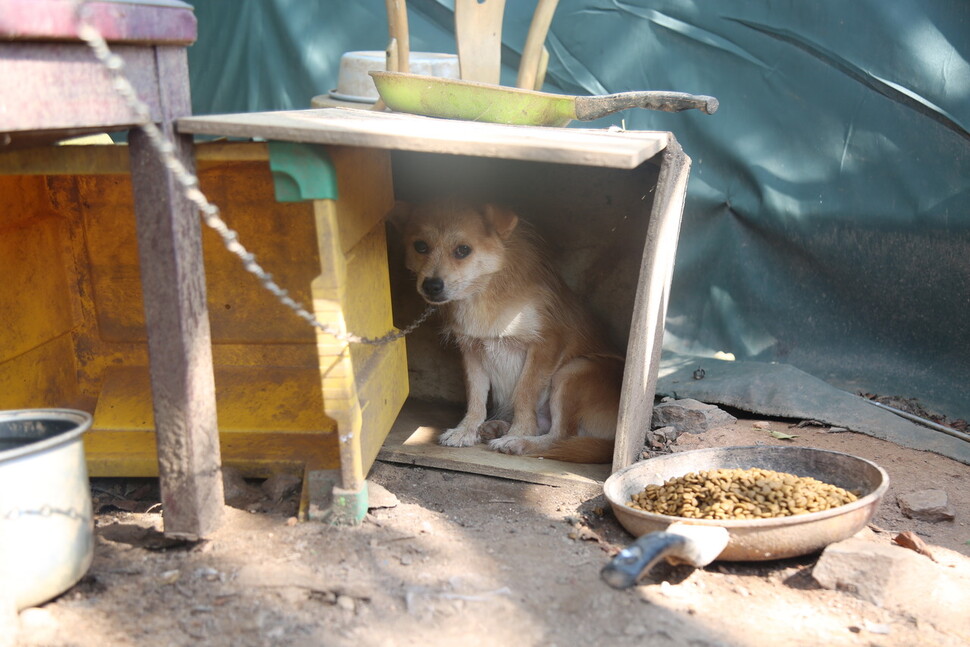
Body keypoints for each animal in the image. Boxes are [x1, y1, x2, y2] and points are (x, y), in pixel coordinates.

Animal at [394, 200, 620, 464]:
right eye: (420, 246)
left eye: (463, 250)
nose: (431, 286)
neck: (484, 293)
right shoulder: (471, 349)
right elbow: (475, 395)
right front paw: (466, 430)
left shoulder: (545, 344)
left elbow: (524, 392)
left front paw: (520, 431)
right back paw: (497, 427)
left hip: (574, 369)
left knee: (560, 437)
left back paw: (518, 441)